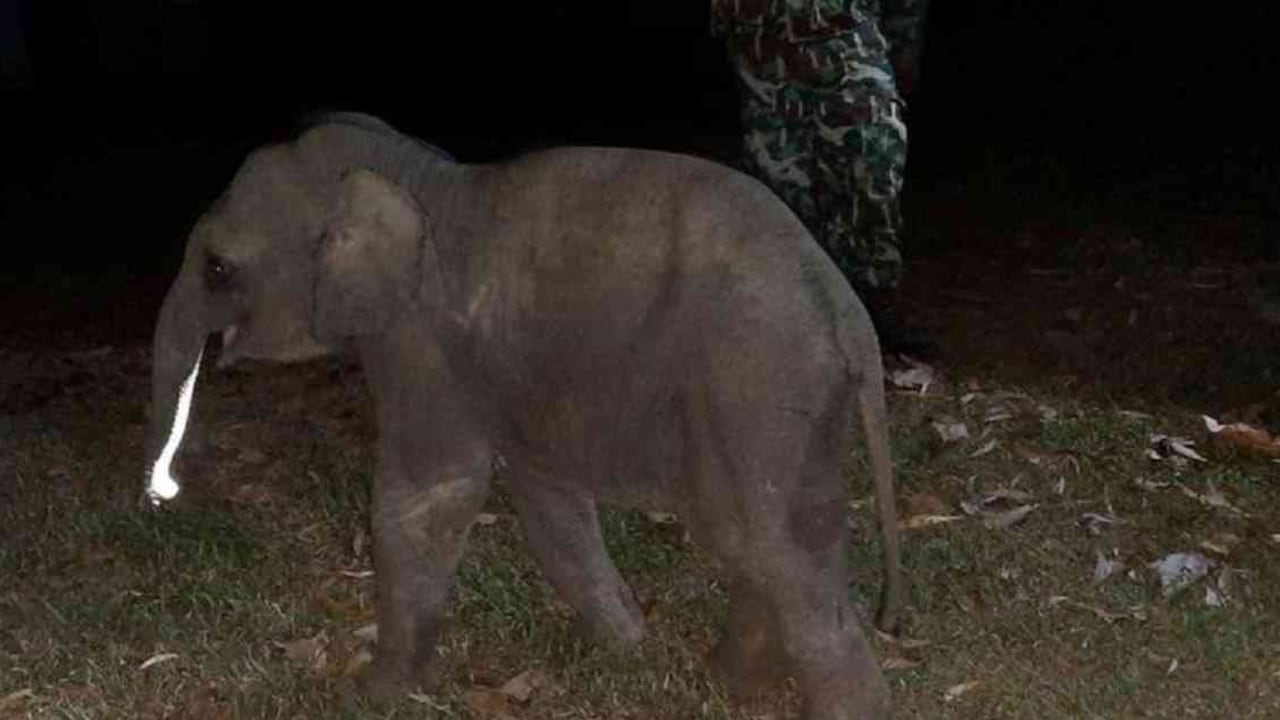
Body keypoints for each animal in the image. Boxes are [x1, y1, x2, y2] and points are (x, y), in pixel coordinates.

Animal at [142, 112, 903, 720]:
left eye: (216, 268)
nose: (164, 489)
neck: (414, 175)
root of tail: (850, 315)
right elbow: (546, 498)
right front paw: (628, 649)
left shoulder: (418, 340)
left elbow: (430, 495)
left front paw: (370, 696)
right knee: (755, 535)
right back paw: (725, 681)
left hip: (759, 383)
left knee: (776, 547)